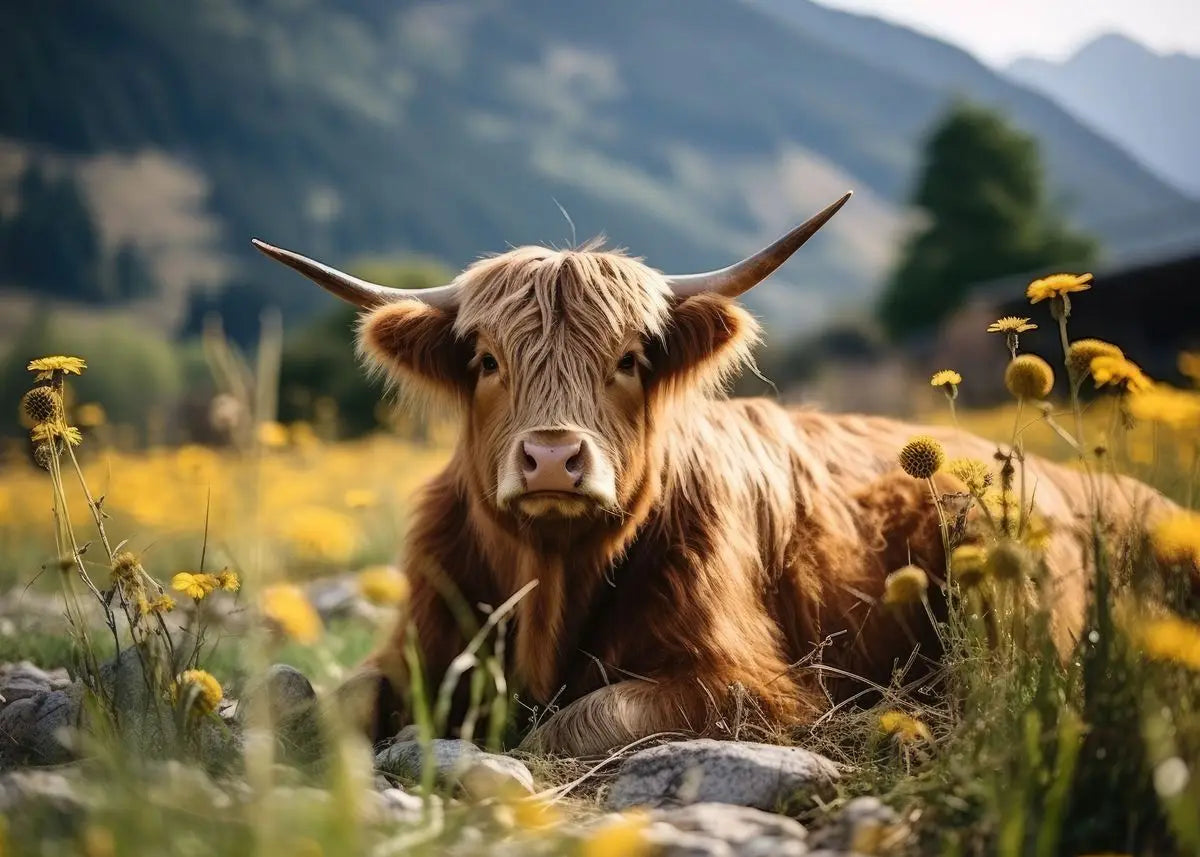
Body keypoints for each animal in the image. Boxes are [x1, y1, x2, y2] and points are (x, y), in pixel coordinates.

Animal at [253, 192, 1171, 756]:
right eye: (484, 359)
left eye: (630, 359)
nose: (552, 457)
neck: (552, 576)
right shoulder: (418, 637)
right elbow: (326, 704)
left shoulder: (751, 683)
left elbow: (575, 721)